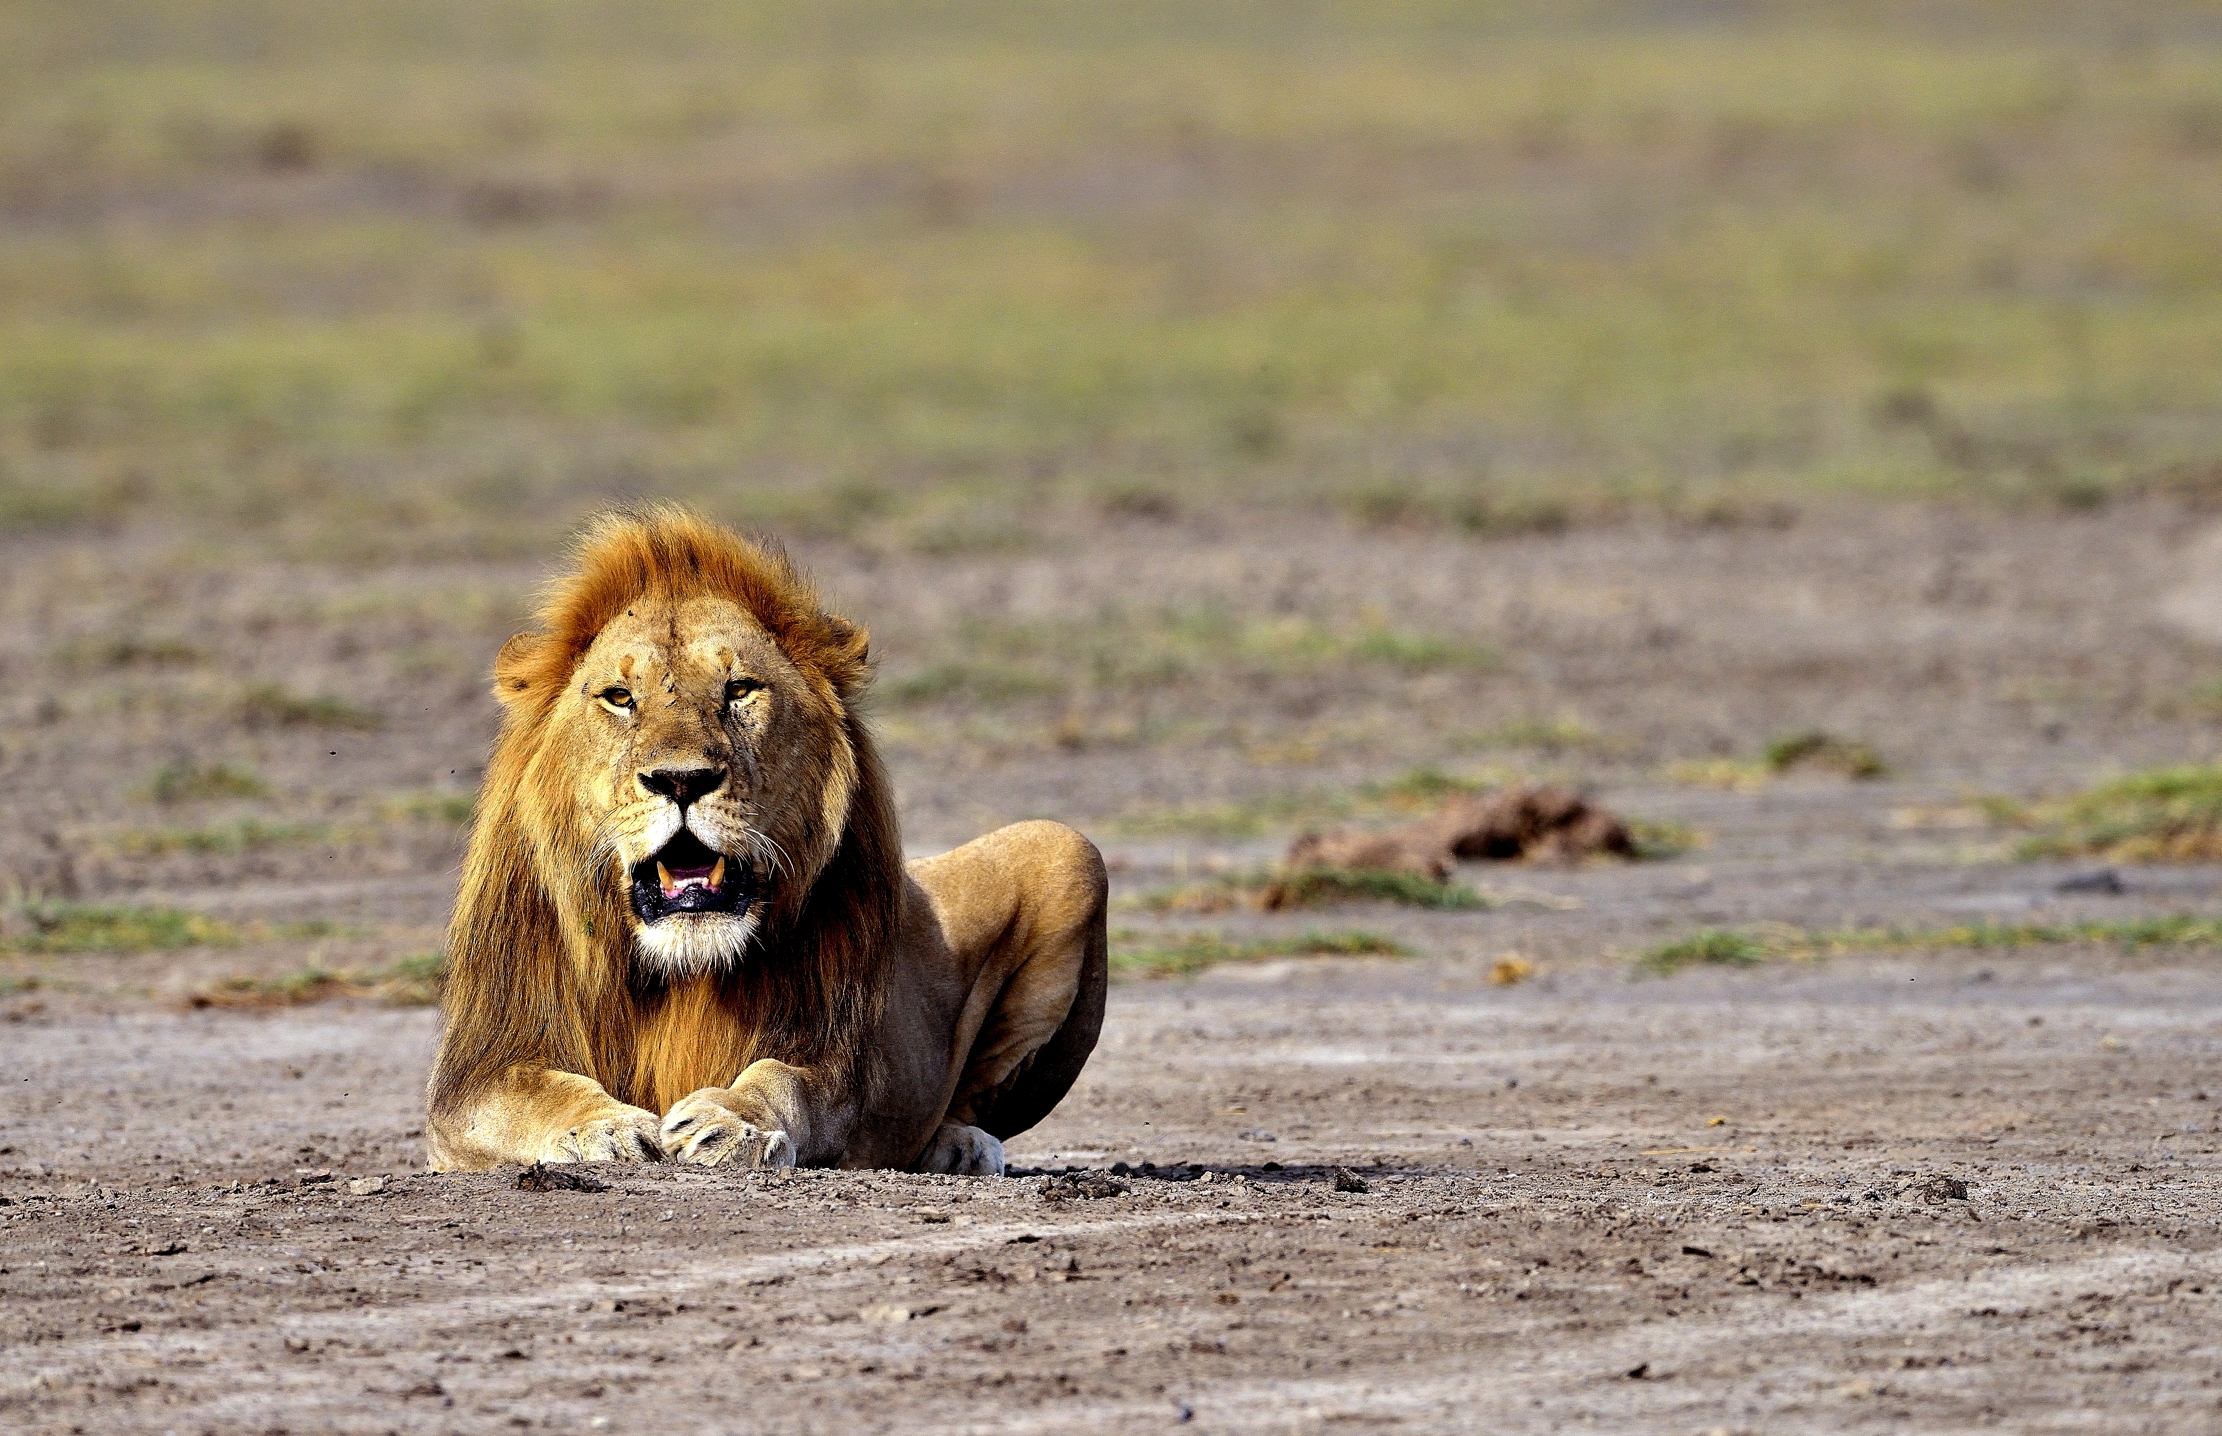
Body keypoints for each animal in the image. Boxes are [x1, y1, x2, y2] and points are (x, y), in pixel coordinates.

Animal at [426, 505, 1107, 1177]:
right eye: (620, 698)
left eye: (739, 690)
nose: (681, 779)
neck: (684, 966)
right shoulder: (471, 1081)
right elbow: (531, 1095)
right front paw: (604, 1128)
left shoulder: (836, 1063)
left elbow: (783, 1081)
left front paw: (732, 1122)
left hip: (1068, 851)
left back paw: (960, 1146)